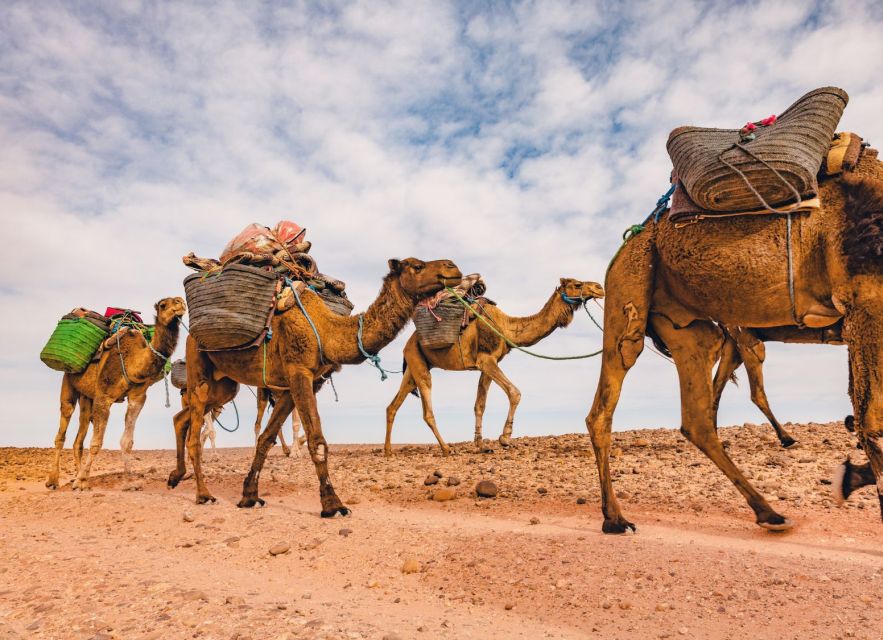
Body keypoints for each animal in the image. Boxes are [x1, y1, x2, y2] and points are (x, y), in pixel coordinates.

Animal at [46, 298, 186, 490]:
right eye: (163, 305)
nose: (180, 303)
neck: (132, 362)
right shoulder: (103, 398)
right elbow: (96, 442)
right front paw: (81, 482)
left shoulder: (137, 397)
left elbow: (127, 442)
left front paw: (129, 482)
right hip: (68, 380)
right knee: (63, 427)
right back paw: (54, 480)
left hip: (87, 396)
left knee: (79, 436)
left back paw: (78, 475)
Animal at [169, 256, 466, 516]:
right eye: (417, 266)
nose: (453, 267)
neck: (327, 331)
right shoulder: (299, 371)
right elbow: (317, 440)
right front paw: (333, 504)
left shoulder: (303, 383)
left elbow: (266, 438)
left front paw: (249, 495)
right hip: (198, 367)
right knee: (195, 430)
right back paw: (203, 494)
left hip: (226, 384)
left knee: (182, 417)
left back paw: (175, 476)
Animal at [386, 278, 608, 456]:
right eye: (577, 284)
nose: (599, 287)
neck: (506, 327)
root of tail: (408, 343)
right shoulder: (487, 359)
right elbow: (514, 392)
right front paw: (505, 438)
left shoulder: (487, 364)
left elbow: (480, 404)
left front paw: (481, 444)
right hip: (419, 362)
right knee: (427, 409)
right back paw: (446, 448)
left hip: (414, 365)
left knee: (393, 405)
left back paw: (388, 451)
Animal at [588, 161, 883, 536]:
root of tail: (631, 238)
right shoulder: (866, 301)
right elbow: (871, 417)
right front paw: (850, 475)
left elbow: (861, 411)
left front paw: (850, 474)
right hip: (630, 290)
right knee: (609, 396)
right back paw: (615, 518)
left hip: (692, 329)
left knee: (697, 417)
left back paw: (769, 512)